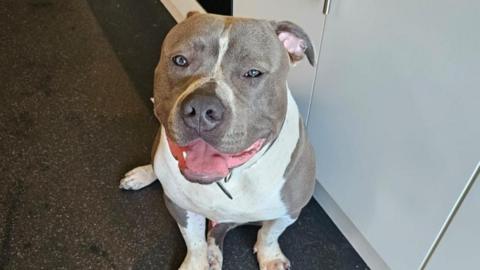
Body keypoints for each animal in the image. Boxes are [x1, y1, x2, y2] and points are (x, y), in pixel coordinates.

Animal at [119, 11, 316, 268]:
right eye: (180, 60)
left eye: (253, 73)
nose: (202, 109)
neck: (229, 178)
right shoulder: (179, 206)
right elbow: (194, 242)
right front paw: (196, 263)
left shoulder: (289, 211)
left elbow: (269, 234)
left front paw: (271, 257)